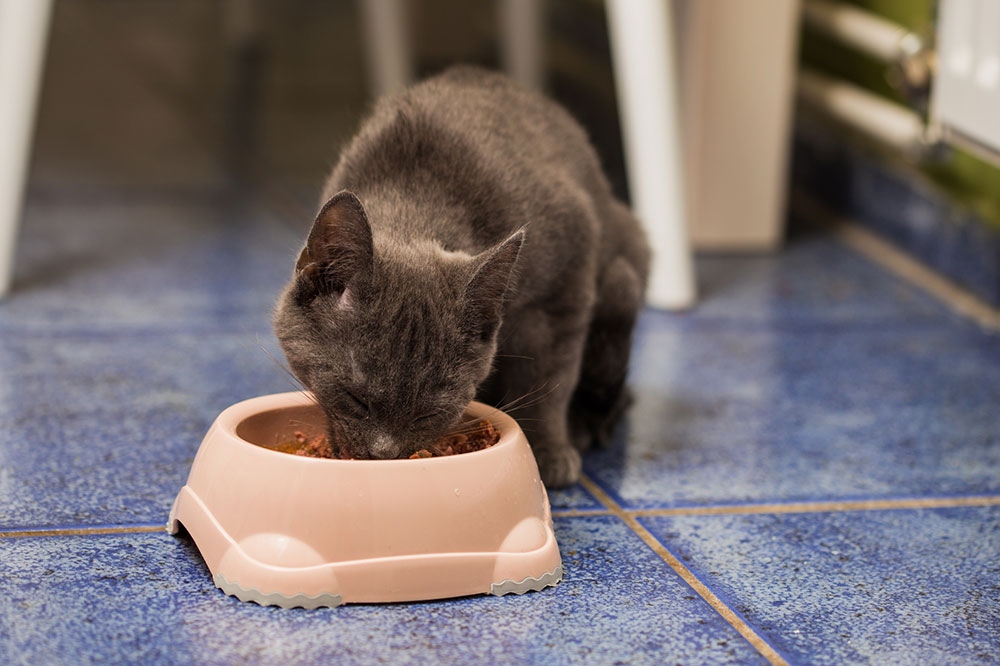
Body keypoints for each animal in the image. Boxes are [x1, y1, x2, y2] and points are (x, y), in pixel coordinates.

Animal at [274, 65, 648, 486]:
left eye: (429, 411)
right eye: (354, 398)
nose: (385, 454)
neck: (416, 195)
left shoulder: (563, 286)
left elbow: (549, 374)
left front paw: (546, 452)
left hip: (621, 284)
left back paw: (584, 425)